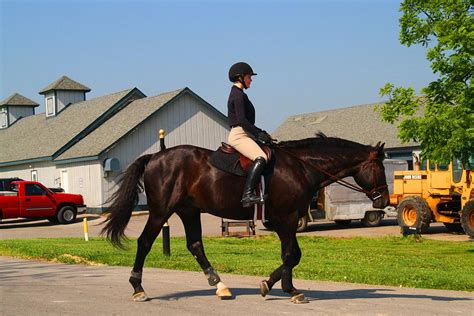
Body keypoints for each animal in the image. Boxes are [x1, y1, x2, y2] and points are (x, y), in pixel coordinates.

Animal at [101, 136, 388, 304]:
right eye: (379, 168)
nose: (383, 200)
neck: (302, 166)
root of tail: (155, 157)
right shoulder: (287, 218)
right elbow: (291, 255)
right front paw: (282, 288)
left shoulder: (286, 220)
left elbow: (291, 254)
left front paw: (279, 285)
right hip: (161, 211)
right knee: (144, 242)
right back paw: (138, 288)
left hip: (189, 211)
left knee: (195, 245)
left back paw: (220, 286)